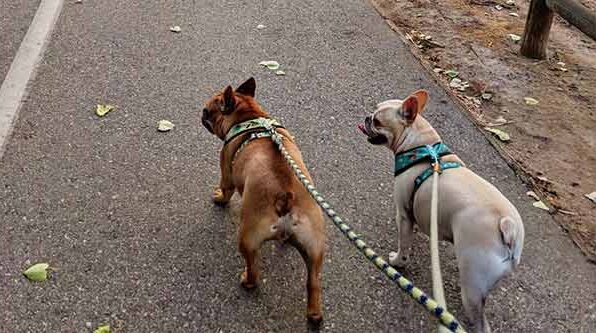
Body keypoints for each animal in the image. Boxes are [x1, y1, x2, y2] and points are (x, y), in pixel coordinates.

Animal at [203, 77, 328, 322]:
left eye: (207, 111)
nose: (201, 114)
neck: (249, 116)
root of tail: (285, 196)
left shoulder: (226, 170)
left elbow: (225, 189)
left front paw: (219, 198)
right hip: (315, 246)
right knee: (314, 283)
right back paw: (314, 314)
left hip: (247, 238)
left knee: (254, 269)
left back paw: (247, 281)